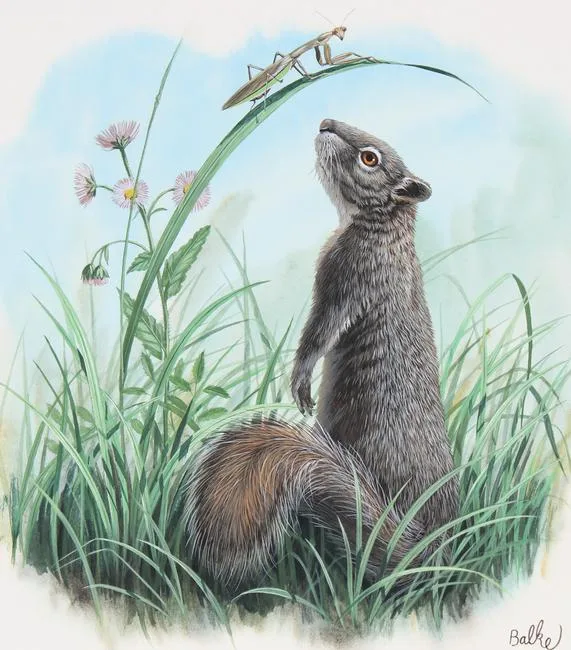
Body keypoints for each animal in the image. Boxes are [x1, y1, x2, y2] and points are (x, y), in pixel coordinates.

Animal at [183, 118, 459, 590]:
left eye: (371, 158)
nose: (326, 123)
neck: (383, 229)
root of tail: (427, 548)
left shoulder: (346, 275)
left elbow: (319, 334)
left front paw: (299, 381)